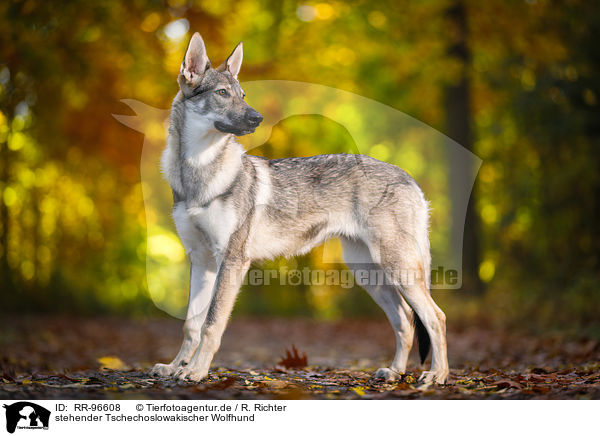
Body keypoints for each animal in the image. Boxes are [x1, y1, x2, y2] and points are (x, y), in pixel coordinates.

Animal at [152, 32, 448, 384]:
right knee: (405, 320)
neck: (198, 173)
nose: (257, 118)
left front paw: (196, 371)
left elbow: (212, 324)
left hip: (396, 269)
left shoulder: (232, 261)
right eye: (223, 94)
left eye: (242, 95)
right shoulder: (201, 261)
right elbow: (191, 325)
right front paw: (175, 367)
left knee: (436, 317)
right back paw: (394, 372)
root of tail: (409, 178)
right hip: (369, 273)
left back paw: (437, 376)